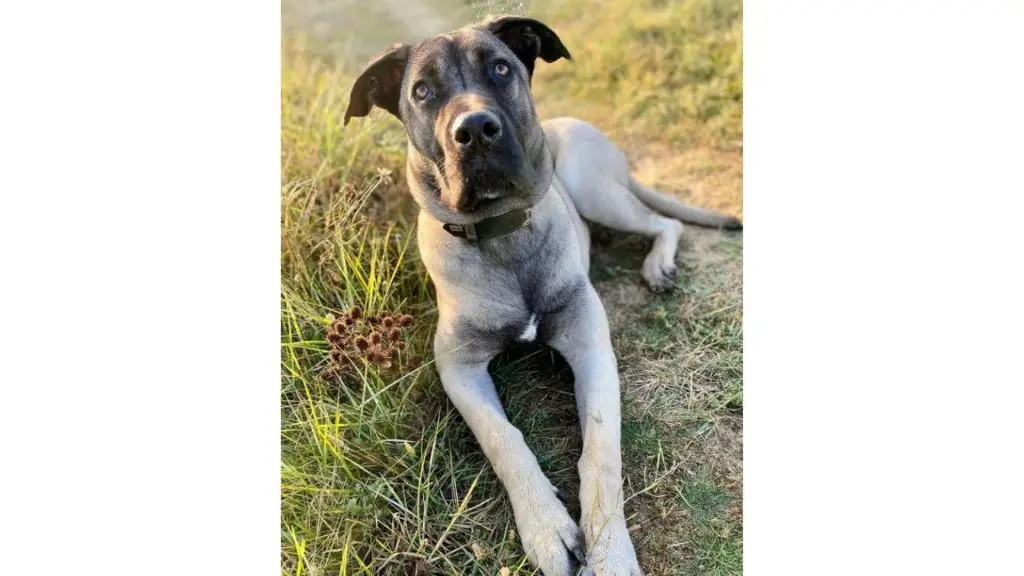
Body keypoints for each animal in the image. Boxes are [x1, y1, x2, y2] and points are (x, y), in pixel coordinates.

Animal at [348, 15, 741, 569]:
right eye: (422, 91)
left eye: (500, 68)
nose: (475, 131)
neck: (503, 235)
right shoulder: (458, 366)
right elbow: (502, 437)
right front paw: (545, 526)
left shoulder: (591, 349)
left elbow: (600, 451)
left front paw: (610, 551)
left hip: (594, 188)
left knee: (665, 221)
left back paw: (658, 263)